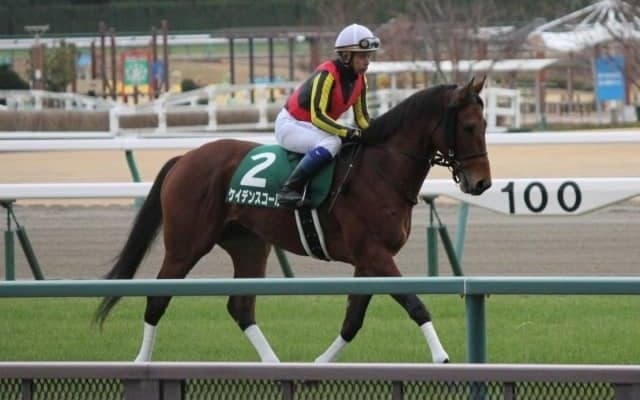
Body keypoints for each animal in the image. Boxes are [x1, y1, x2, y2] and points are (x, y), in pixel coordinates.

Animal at [94, 76, 491, 363]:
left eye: (486, 124)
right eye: (469, 127)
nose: (482, 183)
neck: (382, 170)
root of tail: (185, 157)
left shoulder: (368, 261)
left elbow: (353, 320)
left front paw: (318, 365)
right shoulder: (374, 254)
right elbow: (414, 303)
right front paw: (441, 357)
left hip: (249, 245)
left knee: (241, 308)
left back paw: (273, 364)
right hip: (185, 245)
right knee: (157, 298)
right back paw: (141, 364)